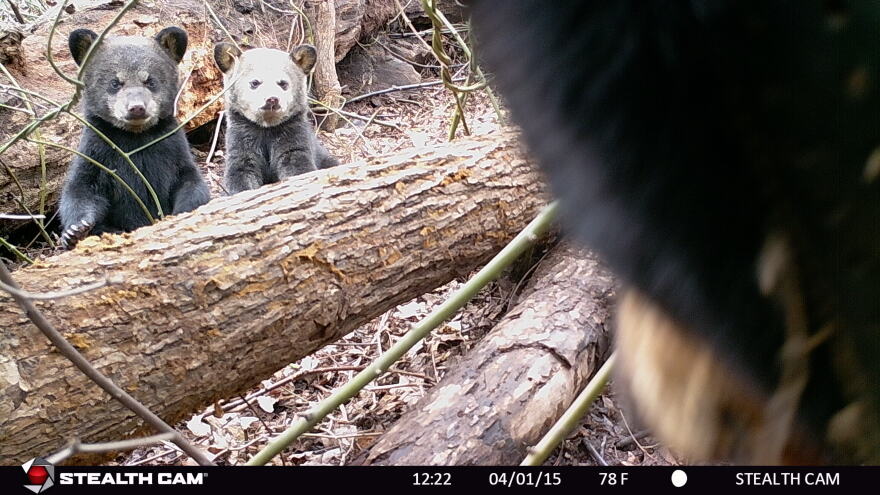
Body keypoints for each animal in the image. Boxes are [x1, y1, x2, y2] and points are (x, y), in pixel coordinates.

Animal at [58, 26, 211, 250]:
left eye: (150, 81)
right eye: (115, 83)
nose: (137, 107)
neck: (135, 136)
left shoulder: (172, 149)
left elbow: (190, 181)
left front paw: (183, 211)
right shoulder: (98, 149)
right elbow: (81, 187)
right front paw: (76, 230)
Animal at [213, 43, 338, 195]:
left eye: (283, 83)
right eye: (255, 82)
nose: (272, 99)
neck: (267, 127)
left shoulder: (292, 132)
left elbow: (296, 163)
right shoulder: (241, 137)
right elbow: (240, 170)